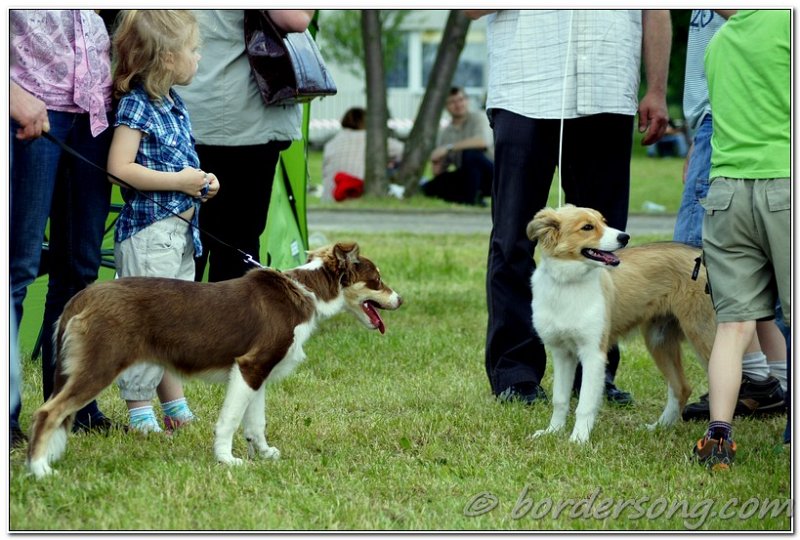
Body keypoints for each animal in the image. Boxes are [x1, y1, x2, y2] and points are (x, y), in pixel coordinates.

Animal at [25, 242, 404, 476]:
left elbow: (255, 423)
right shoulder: (249, 366)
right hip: (99, 366)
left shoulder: (258, 372)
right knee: (47, 412)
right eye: (376, 281)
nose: (401, 300)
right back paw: (39, 469)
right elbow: (230, 421)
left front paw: (263, 453)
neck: (307, 291)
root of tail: (82, 296)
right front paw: (227, 459)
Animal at [528, 206, 716, 442]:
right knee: (681, 387)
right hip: (659, 340)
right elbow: (560, 399)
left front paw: (578, 439)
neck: (567, 283)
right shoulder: (562, 353)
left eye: (604, 221)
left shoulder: (593, 354)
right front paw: (553, 431)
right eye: (587, 227)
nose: (625, 237)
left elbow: (585, 404)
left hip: (702, 333)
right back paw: (659, 427)